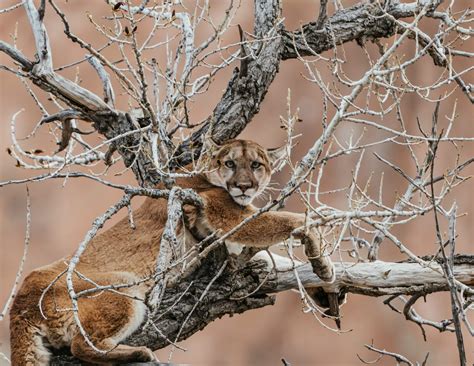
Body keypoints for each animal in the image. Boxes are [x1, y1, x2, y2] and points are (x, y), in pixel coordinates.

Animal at [9, 139, 336, 364]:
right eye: (230, 163)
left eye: (256, 165)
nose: (244, 186)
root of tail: (19, 306)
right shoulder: (233, 217)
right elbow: (294, 220)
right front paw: (321, 255)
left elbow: (278, 260)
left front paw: (325, 283)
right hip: (124, 288)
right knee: (80, 344)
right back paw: (138, 353)